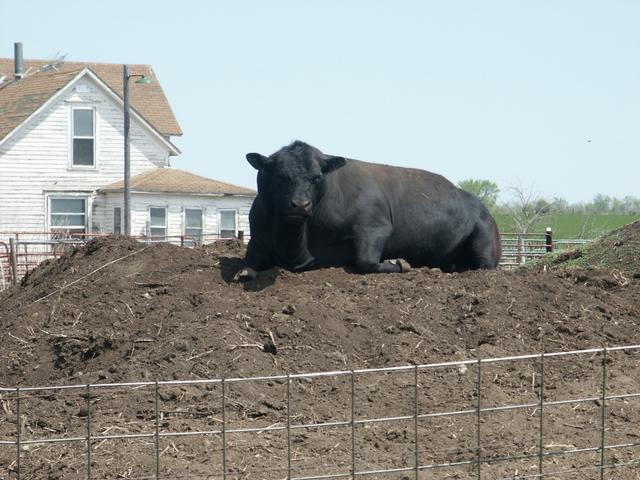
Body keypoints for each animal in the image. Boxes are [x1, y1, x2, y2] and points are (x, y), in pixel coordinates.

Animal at [235, 141, 500, 280]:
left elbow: (366, 262)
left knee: (482, 266)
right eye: (279, 176)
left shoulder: (374, 226)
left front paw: (401, 263)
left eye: (317, 176)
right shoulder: (256, 237)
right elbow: (247, 266)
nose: (300, 204)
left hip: (484, 243)